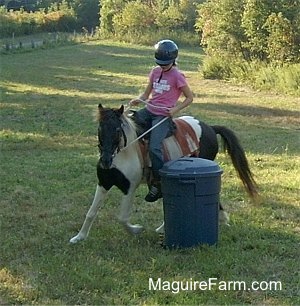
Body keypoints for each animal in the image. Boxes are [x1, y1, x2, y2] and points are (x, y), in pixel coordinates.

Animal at [69, 105, 256, 244]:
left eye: (117, 129)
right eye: (100, 129)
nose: (106, 161)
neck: (123, 153)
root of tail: (210, 128)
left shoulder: (130, 187)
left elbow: (122, 217)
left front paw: (136, 230)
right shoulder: (103, 183)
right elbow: (91, 212)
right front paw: (79, 237)